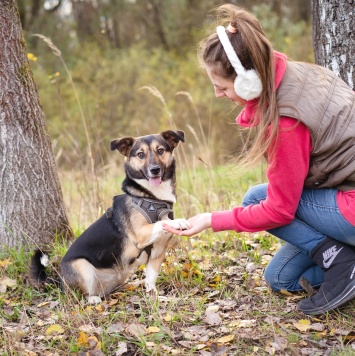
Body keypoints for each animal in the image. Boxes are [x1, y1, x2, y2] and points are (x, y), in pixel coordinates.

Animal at [28, 130, 189, 304]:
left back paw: (134, 283)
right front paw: (178, 221)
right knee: (79, 296)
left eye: (160, 150)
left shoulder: (158, 251)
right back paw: (92, 299)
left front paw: (156, 297)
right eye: (140, 154)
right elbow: (160, 223)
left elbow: (151, 279)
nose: (154, 170)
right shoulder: (140, 234)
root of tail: (60, 282)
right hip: (81, 266)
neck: (153, 198)